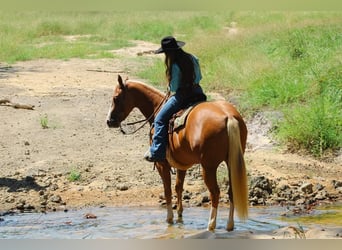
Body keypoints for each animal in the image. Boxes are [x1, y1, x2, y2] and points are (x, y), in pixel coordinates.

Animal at [105, 75, 247, 231]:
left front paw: (169, 218)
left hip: (208, 167)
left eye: (116, 98)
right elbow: (178, 187)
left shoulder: (161, 164)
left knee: (215, 193)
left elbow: (167, 190)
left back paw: (211, 225)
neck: (157, 107)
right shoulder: (181, 163)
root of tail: (228, 117)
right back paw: (229, 225)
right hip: (231, 162)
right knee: (232, 192)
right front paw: (179, 216)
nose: (109, 121)